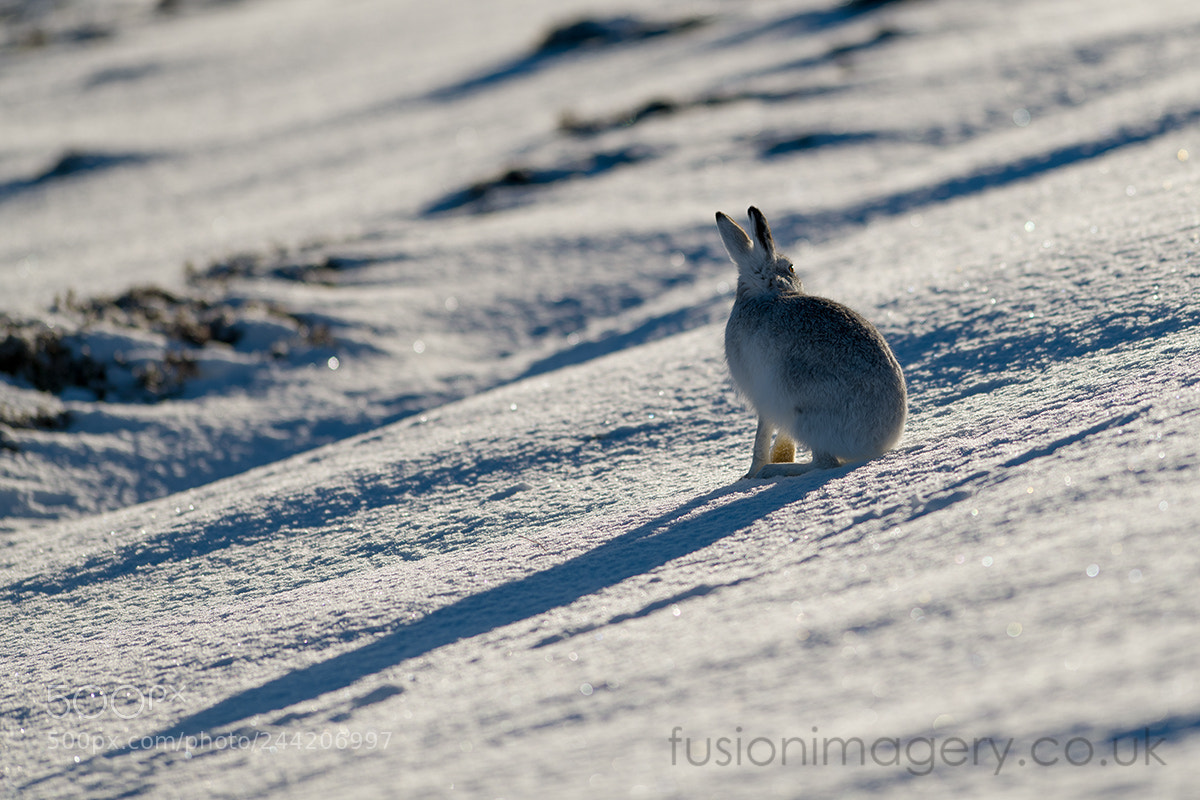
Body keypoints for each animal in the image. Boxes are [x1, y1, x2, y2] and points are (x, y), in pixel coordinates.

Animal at [716, 206, 906, 479]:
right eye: (792, 268)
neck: (767, 292)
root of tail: (878, 443)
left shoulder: (762, 395)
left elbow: (761, 436)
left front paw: (751, 475)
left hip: (802, 407)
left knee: (824, 464)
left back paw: (774, 470)